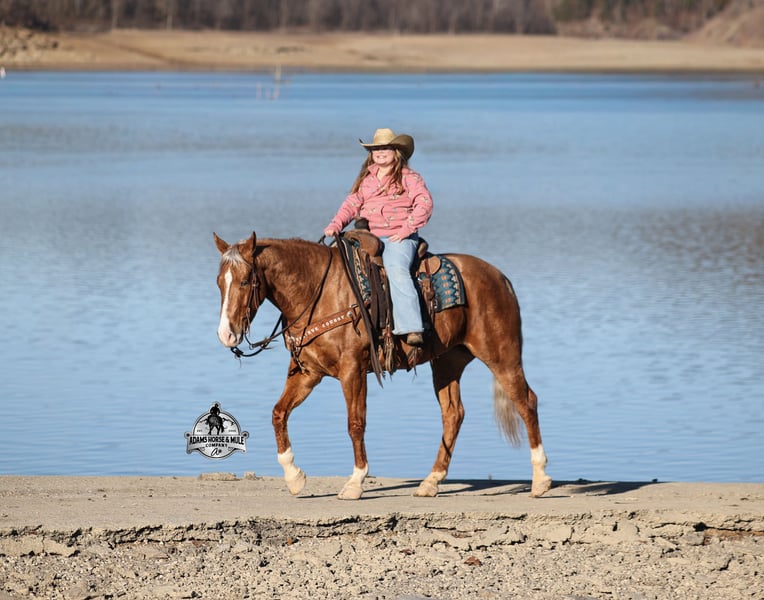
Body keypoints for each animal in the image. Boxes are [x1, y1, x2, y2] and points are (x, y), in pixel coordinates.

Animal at [214, 231, 552, 500]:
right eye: (219, 282)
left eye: (245, 280)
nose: (225, 334)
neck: (319, 293)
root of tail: (500, 278)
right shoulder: (308, 373)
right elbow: (278, 413)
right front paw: (295, 478)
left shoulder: (352, 370)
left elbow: (355, 424)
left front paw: (355, 483)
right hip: (447, 362)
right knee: (453, 414)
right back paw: (431, 481)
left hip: (502, 355)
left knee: (526, 401)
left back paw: (540, 480)